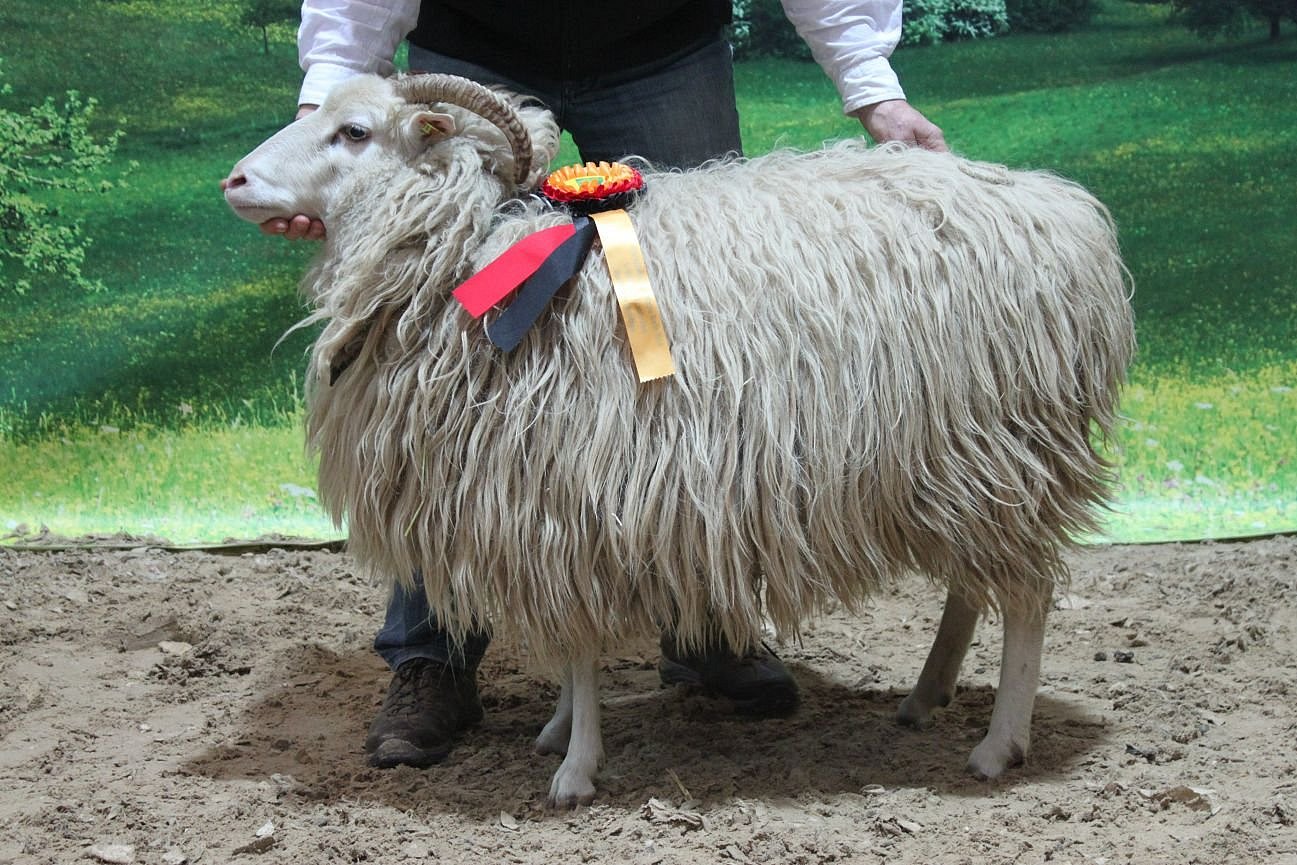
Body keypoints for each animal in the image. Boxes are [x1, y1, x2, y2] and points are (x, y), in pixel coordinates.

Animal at [223, 71, 1136, 809]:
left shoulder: (563, 486)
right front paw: (558, 731)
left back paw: (996, 744)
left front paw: (575, 767)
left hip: (1004, 442)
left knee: (1026, 598)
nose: (233, 180)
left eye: (354, 132)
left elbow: (578, 646)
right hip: (958, 460)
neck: (471, 253)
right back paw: (925, 695)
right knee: (973, 585)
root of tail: (1066, 213)